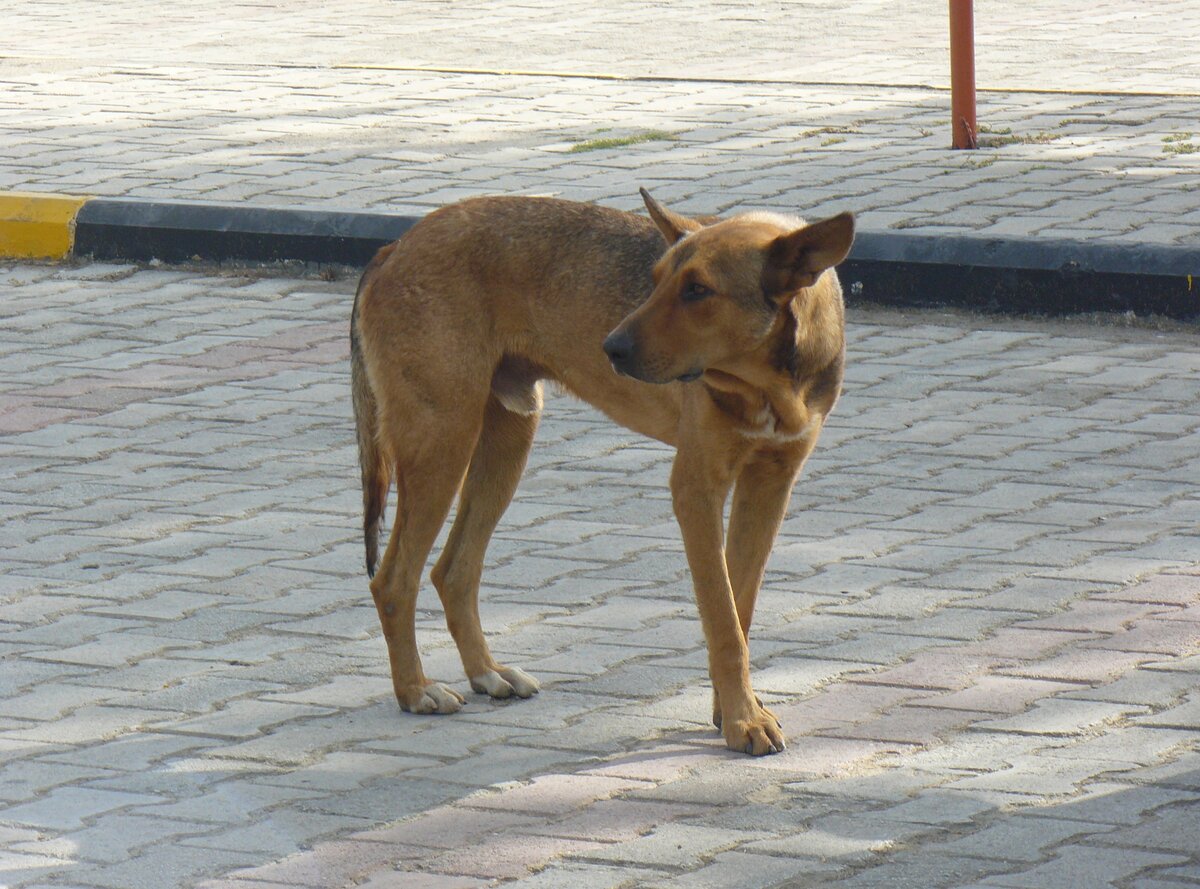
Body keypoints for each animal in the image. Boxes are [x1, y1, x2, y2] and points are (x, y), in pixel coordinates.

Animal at [350, 190, 854, 753]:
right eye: (655, 280)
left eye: (698, 290)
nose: (611, 349)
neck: (767, 384)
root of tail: (393, 247)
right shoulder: (696, 490)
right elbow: (723, 620)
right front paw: (744, 719)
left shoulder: (768, 487)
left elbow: (738, 610)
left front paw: (733, 711)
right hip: (442, 444)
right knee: (394, 581)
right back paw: (415, 690)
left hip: (505, 442)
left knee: (452, 570)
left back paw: (486, 672)